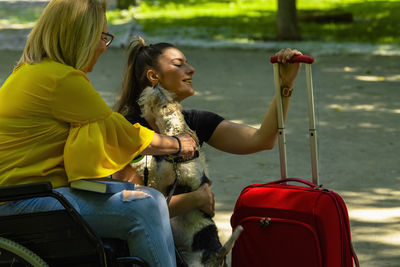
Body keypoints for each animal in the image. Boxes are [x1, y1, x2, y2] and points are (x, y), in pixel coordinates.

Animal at [133, 86, 242, 267]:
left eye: (164, 106)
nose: (155, 87)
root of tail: (218, 256)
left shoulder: (161, 181)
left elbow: (149, 167)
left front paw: (136, 159)